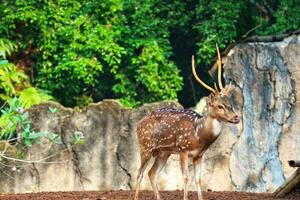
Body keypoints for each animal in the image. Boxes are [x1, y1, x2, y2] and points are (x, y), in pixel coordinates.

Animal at [135, 45, 240, 200]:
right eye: (220, 106)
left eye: (230, 104)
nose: (236, 117)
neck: (198, 135)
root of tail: (138, 125)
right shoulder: (183, 149)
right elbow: (185, 178)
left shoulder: (199, 155)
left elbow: (198, 180)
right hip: (145, 146)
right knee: (139, 173)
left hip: (163, 152)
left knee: (152, 173)